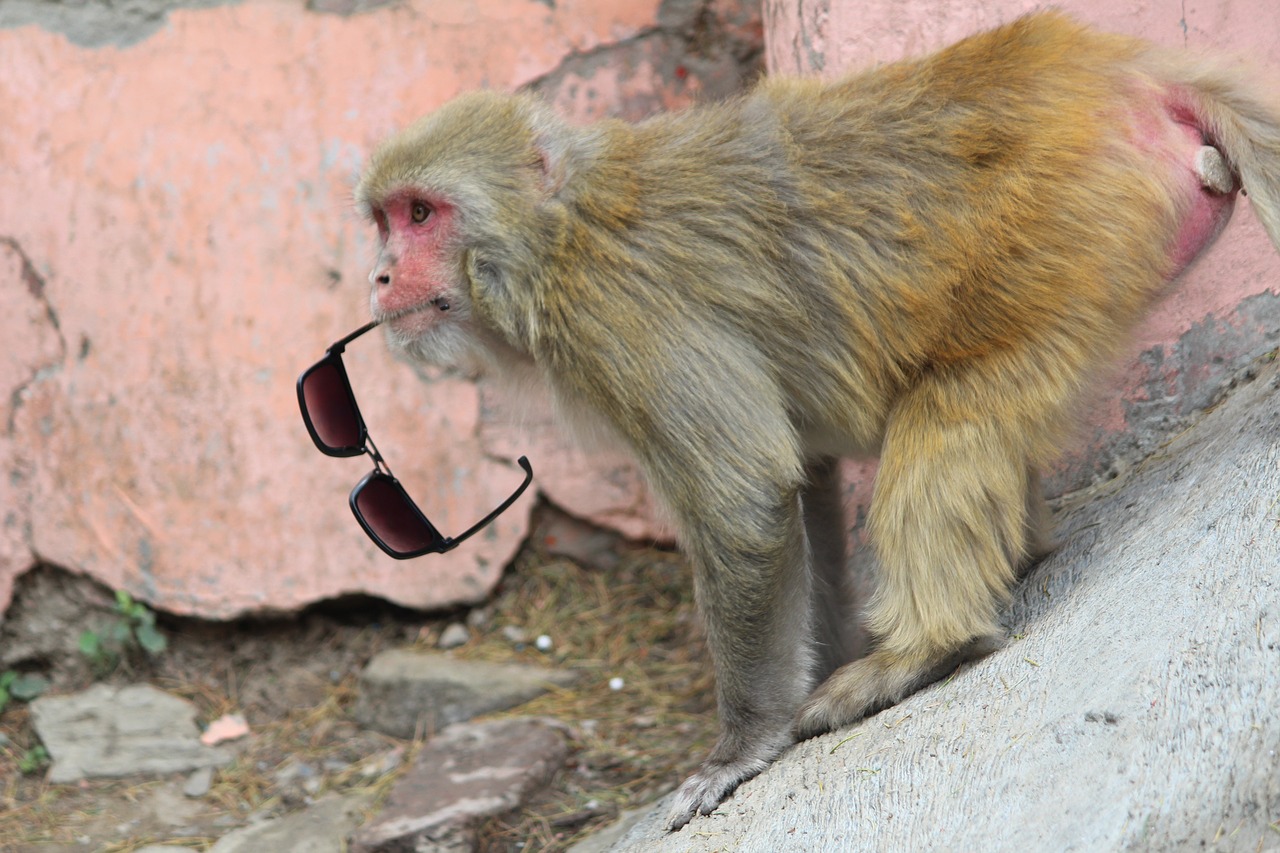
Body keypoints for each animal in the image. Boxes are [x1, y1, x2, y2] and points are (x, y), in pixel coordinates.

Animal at [350, 9, 1280, 824]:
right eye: (385, 220)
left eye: (422, 213)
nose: (381, 276)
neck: (553, 234)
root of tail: (1113, 66)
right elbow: (807, 475)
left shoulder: (618, 319)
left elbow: (744, 497)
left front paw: (742, 745)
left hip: (1064, 228)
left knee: (953, 407)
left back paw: (923, 647)